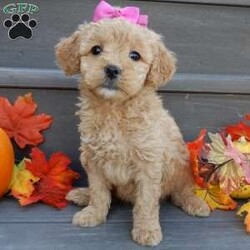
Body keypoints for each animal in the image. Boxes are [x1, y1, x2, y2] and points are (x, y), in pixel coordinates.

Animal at [55, 18, 210, 246]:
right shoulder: (93, 158)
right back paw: (83, 195)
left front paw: (146, 230)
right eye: (96, 50)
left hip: (182, 165)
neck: (114, 109)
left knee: (181, 191)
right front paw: (93, 214)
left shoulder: (148, 163)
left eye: (135, 56)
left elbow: (146, 202)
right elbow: (99, 191)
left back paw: (195, 203)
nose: (112, 69)